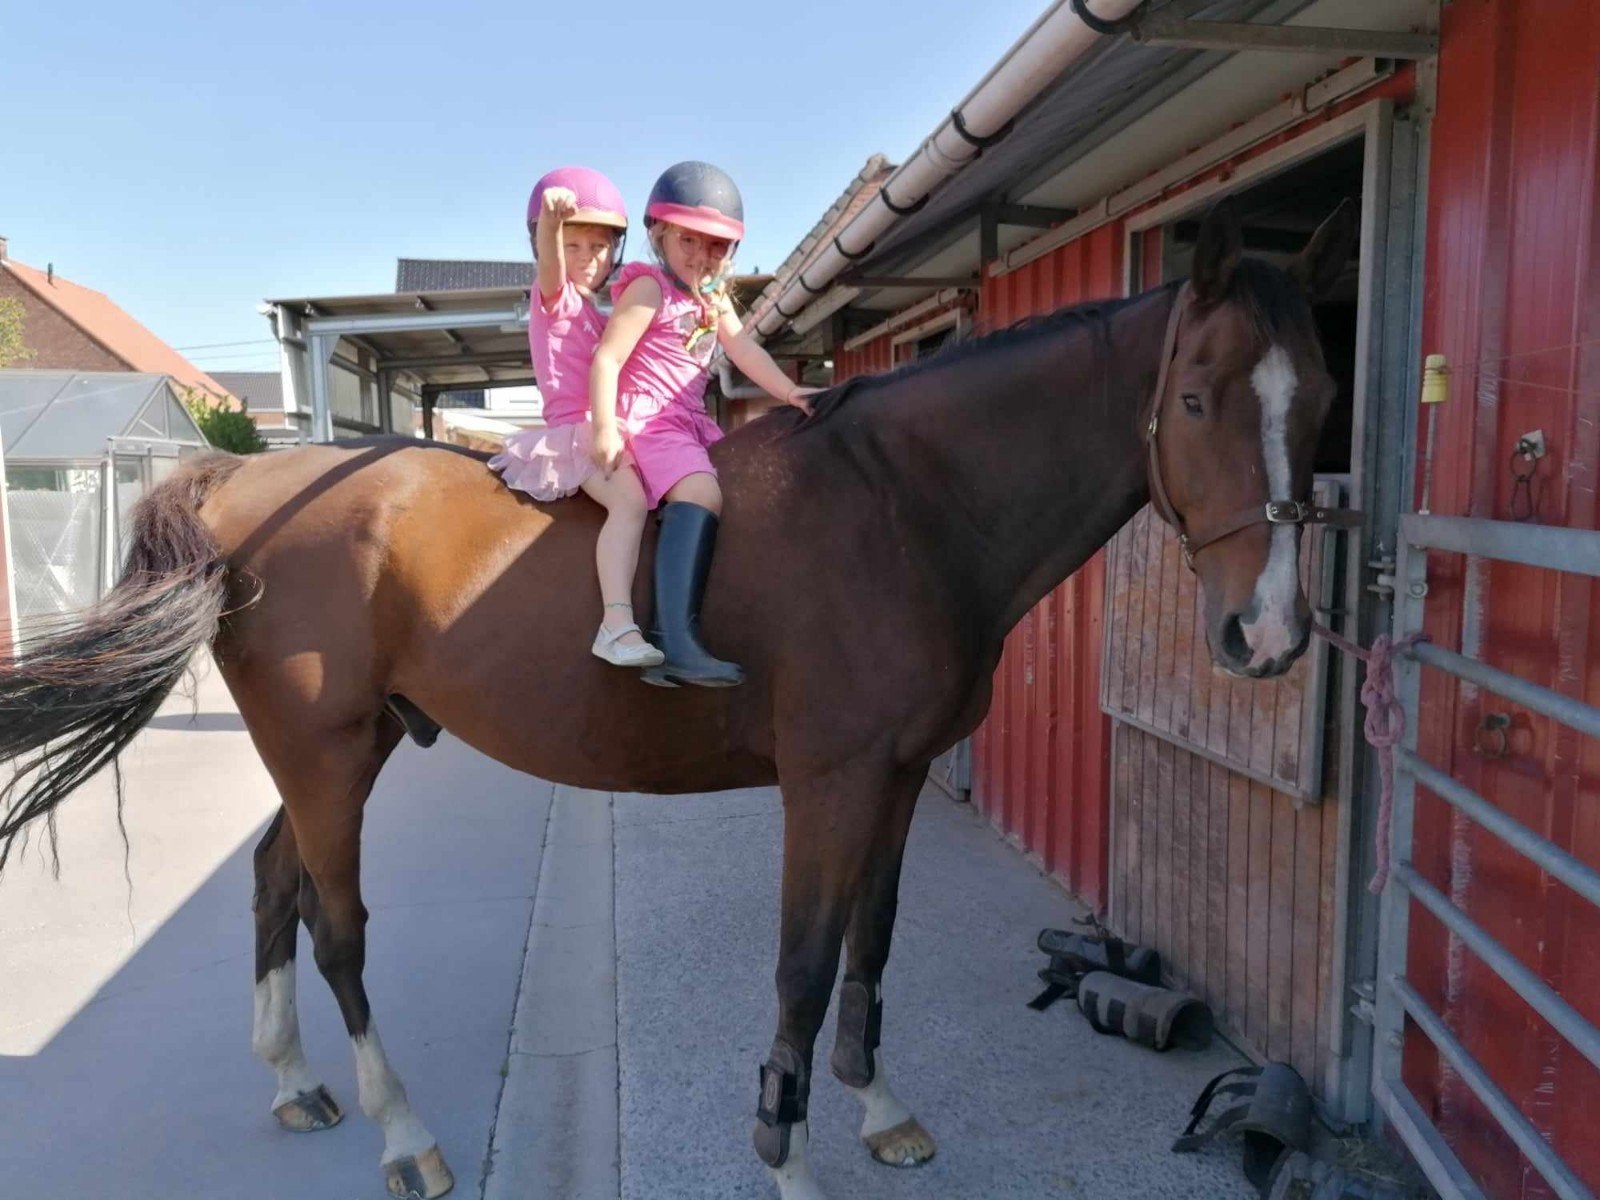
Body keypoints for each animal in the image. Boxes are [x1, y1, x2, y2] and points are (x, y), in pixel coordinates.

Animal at [0, 197, 1356, 1200]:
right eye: (1194, 399)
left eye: (1324, 401)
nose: (1268, 634)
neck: (901, 507)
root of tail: (239, 483)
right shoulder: (829, 784)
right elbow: (803, 964)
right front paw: (788, 1154)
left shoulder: (900, 779)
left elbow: (872, 940)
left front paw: (878, 1108)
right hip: (326, 749)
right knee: (337, 926)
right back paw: (406, 1137)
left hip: (346, 744)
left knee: (273, 879)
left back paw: (291, 1083)